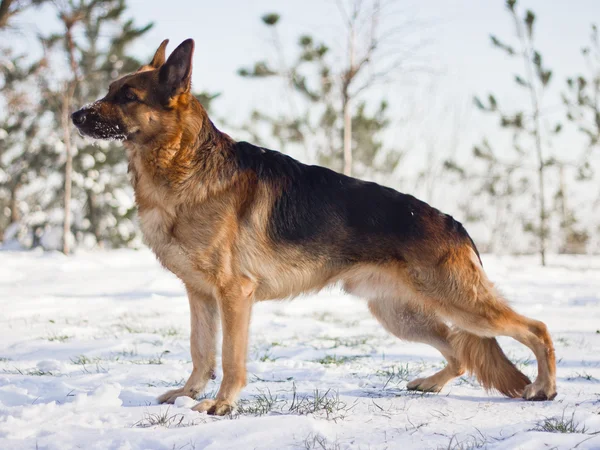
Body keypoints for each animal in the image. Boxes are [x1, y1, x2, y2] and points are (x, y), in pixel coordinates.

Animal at [71, 38, 556, 414]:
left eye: (128, 96)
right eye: (109, 90)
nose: (75, 115)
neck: (183, 165)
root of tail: (456, 224)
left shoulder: (234, 295)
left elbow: (229, 358)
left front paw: (222, 404)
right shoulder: (200, 295)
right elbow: (200, 351)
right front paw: (187, 395)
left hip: (460, 303)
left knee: (536, 328)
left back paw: (544, 387)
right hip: (401, 315)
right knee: (459, 350)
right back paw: (432, 384)